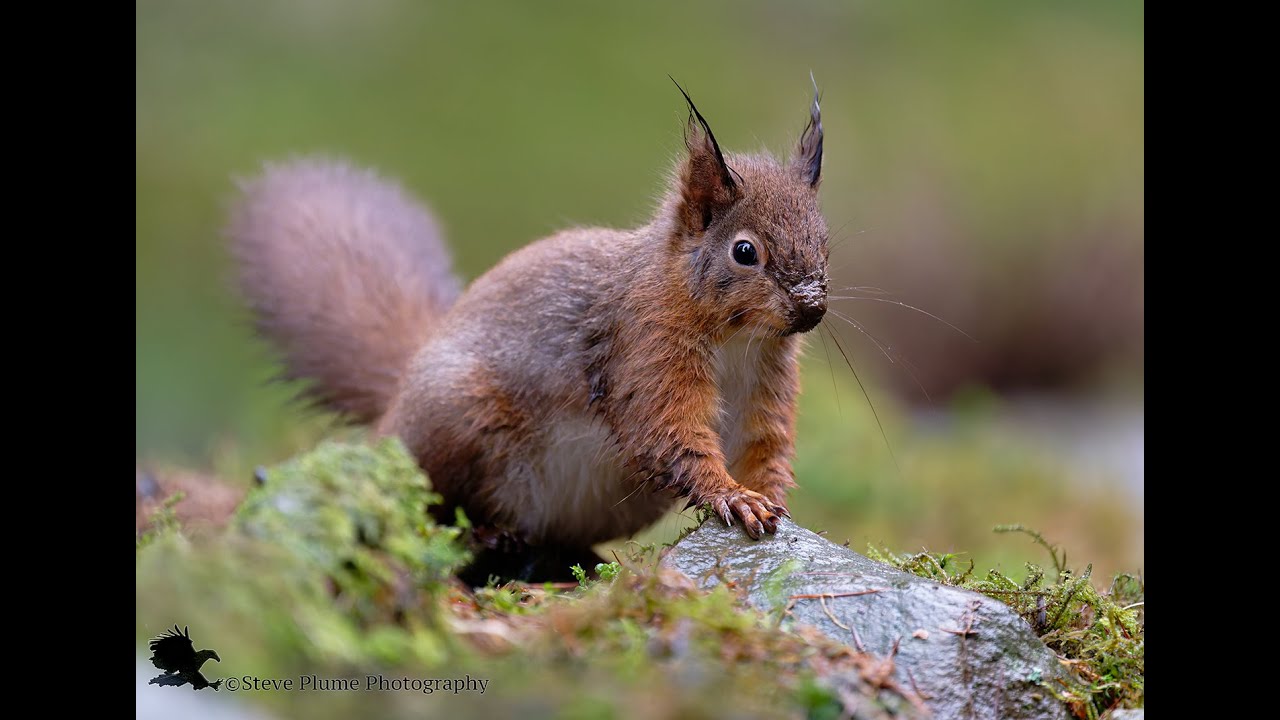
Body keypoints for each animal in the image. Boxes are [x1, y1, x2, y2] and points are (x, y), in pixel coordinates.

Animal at [228, 83, 829, 581]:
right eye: (744, 251)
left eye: (824, 237)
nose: (812, 307)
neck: (738, 339)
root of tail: (395, 405)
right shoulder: (645, 350)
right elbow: (671, 434)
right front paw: (732, 497)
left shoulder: (767, 382)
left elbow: (765, 444)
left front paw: (768, 496)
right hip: (459, 419)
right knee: (430, 506)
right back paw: (490, 536)